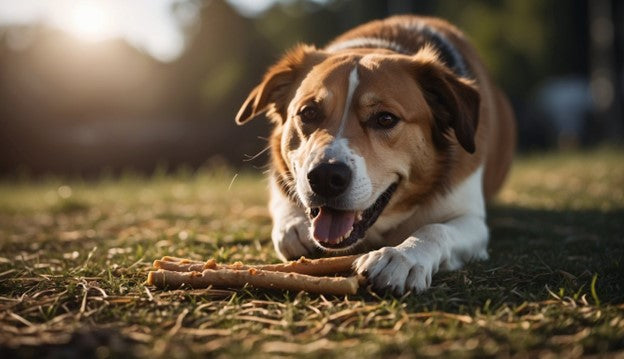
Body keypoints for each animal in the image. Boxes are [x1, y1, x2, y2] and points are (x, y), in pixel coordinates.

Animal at [236, 15, 516, 296]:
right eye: (309, 112)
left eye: (385, 118)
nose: (325, 177)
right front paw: (294, 225)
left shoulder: (472, 218)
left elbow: (435, 229)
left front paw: (403, 257)